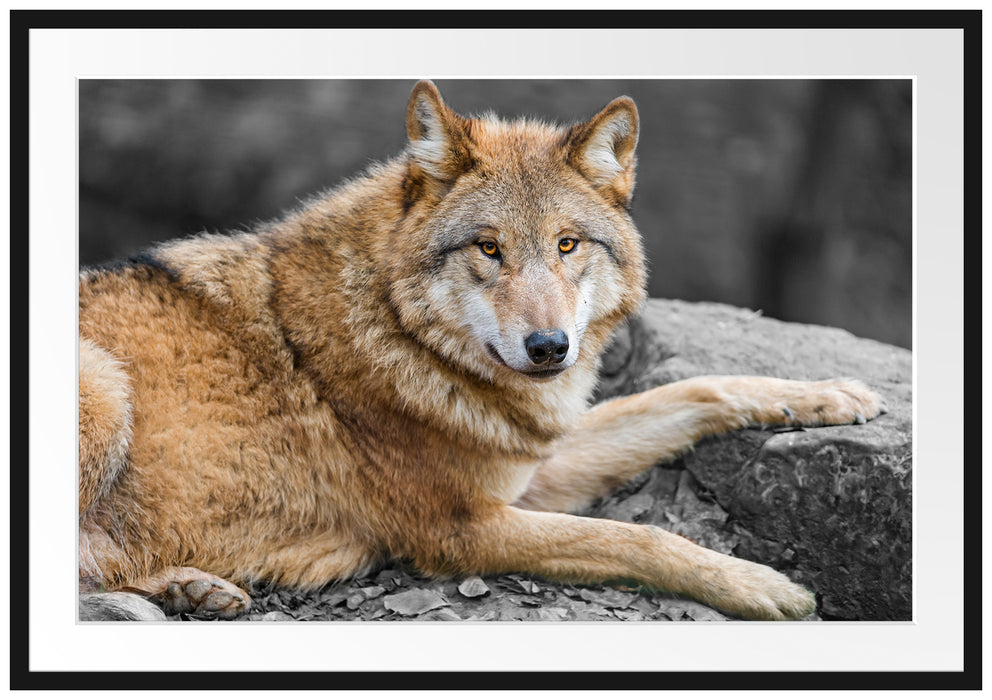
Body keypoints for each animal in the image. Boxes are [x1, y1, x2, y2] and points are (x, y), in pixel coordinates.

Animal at [78, 80, 883, 622]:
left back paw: (193, 588)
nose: (549, 347)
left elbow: (694, 389)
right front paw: (763, 586)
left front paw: (828, 395)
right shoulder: (465, 528)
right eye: (489, 249)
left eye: (567, 244)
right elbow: (639, 539)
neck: (400, 332)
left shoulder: (532, 465)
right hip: (104, 388)